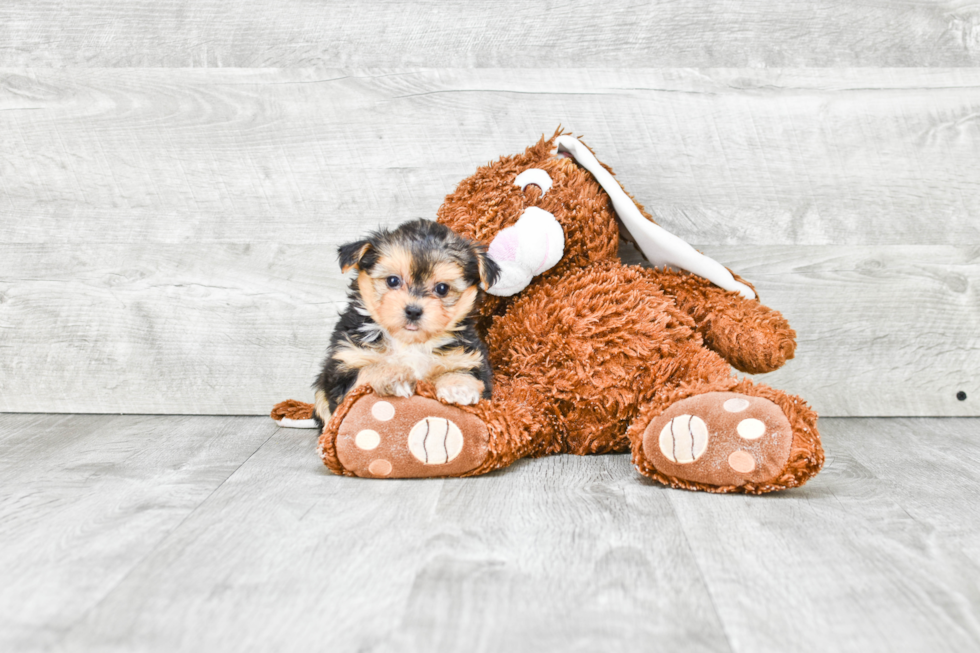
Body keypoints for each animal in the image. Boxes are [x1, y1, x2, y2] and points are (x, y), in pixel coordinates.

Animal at [312, 218, 498, 428]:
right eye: (393, 281)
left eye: (442, 288)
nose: (413, 311)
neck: (408, 342)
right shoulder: (344, 364)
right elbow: (366, 372)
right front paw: (393, 376)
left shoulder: (468, 357)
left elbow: (466, 372)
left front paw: (458, 386)